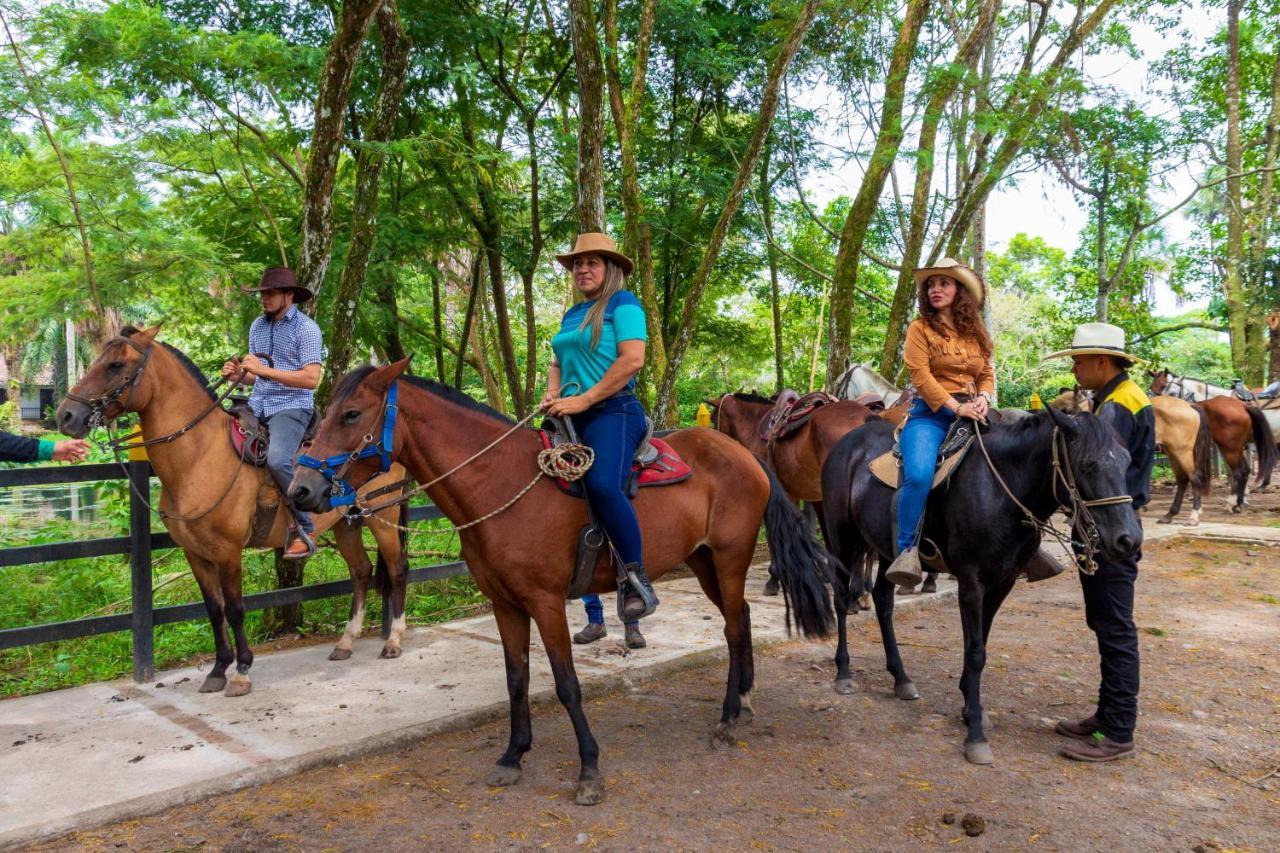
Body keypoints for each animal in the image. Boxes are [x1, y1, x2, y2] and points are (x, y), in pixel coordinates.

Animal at [56, 324, 409, 691]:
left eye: (115, 365)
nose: (66, 415)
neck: (199, 456)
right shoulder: (195, 553)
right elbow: (214, 609)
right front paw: (217, 670)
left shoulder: (228, 551)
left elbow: (236, 608)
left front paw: (241, 671)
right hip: (347, 523)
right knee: (361, 572)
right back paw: (346, 642)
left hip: (382, 515)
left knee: (397, 568)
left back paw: (393, 639)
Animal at [290, 358, 834, 804]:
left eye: (351, 414)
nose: (301, 489)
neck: (501, 483)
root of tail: (743, 454)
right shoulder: (505, 605)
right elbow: (517, 679)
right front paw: (513, 756)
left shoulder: (546, 602)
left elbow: (567, 684)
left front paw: (589, 769)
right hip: (703, 563)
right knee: (740, 620)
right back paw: (743, 704)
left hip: (729, 558)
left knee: (735, 628)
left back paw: (727, 718)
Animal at [824, 404, 1146, 763]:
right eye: (1088, 464)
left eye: (1126, 462)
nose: (1128, 539)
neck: (1001, 488)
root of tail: (849, 441)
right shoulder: (971, 582)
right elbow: (976, 651)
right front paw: (975, 733)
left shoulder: (1002, 582)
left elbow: (981, 645)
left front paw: (969, 709)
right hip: (842, 541)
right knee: (841, 599)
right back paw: (844, 673)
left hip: (884, 551)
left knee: (883, 601)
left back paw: (901, 678)